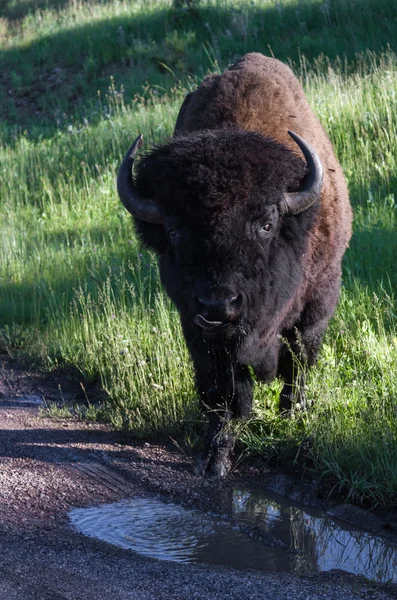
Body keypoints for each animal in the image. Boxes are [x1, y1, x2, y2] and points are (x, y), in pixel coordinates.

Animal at [116, 54, 352, 476]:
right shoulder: (199, 330)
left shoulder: (318, 302)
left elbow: (298, 362)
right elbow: (222, 391)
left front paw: (292, 417)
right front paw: (215, 458)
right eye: (173, 230)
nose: (219, 305)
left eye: (267, 224)